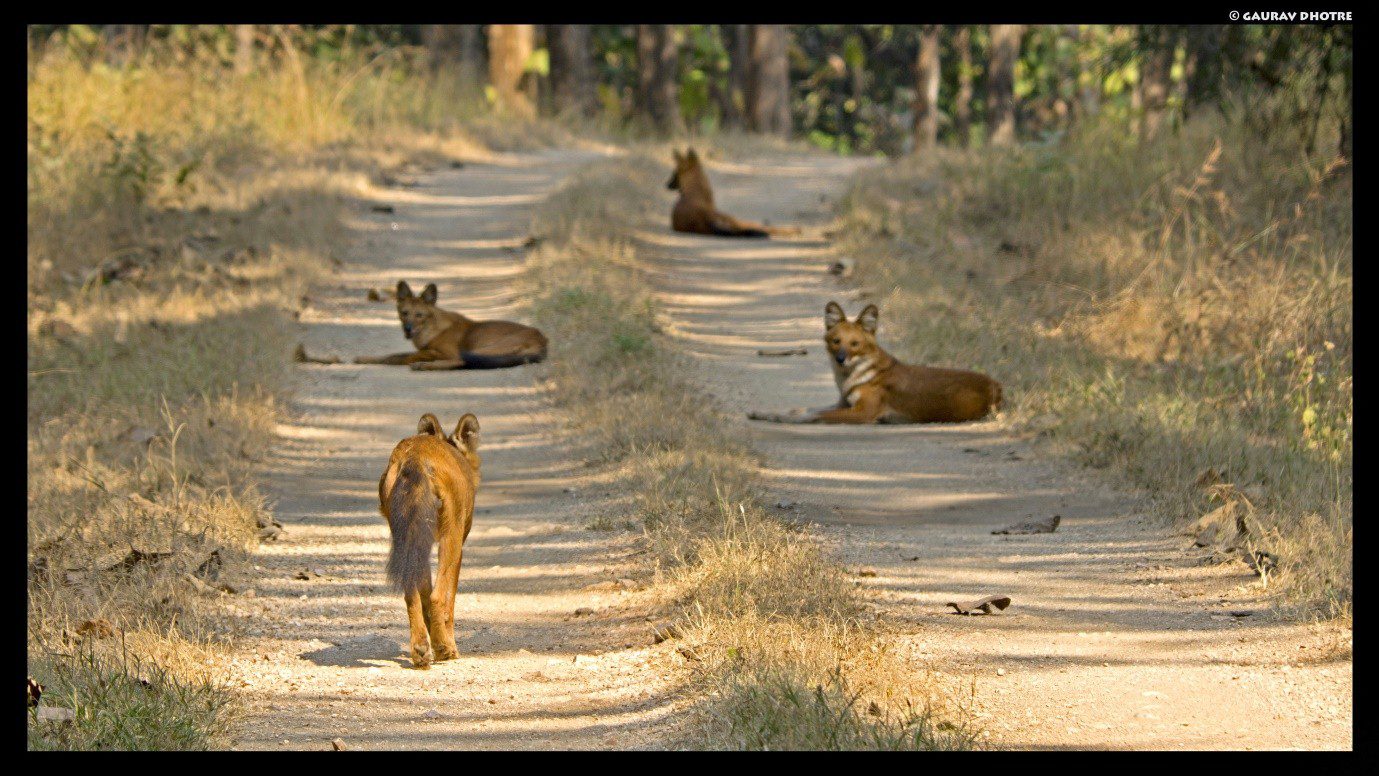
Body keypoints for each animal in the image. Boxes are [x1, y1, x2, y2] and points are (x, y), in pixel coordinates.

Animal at [353, 281, 546, 372]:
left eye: (419, 315)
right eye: (404, 313)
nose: (407, 329)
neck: (431, 330)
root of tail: (542, 339)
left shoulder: (446, 351)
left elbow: (395, 356)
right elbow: (394, 355)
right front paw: (364, 358)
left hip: (485, 347)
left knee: (462, 361)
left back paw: (423, 366)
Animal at [380, 413, 482, 667]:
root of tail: (414, 457)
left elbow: (423, 591)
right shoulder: (458, 541)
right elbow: (448, 600)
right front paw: (446, 644)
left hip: (407, 535)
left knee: (410, 591)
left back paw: (420, 649)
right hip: (450, 535)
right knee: (438, 596)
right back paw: (444, 648)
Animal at [667, 148, 799, 238]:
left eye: (674, 173)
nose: (667, 184)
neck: (694, 192)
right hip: (731, 219)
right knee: (762, 227)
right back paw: (792, 229)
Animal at [755, 301, 1003, 424]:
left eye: (855, 343)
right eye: (836, 341)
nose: (841, 358)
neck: (847, 378)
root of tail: (997, 385)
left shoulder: (864, 412)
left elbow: (815, 415)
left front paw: (785, 419)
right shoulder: (842, 403)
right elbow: (802, 407)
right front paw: (765, 413)